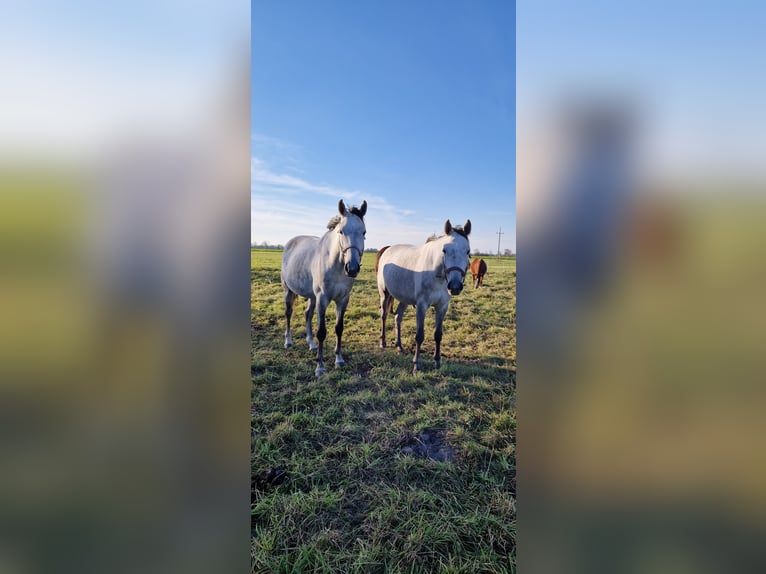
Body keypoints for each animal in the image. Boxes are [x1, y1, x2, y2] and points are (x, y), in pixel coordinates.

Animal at [280, 201, 368, 378]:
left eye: (364, 232)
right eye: (341, 231)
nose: (352, 268)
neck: (336, 265)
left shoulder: (343, 299)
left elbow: (339, 329)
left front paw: (339, 360)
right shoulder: (322, 299)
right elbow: (322, 332)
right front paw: (320, 367)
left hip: (312, 297)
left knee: (307, 313)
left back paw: (311, 344)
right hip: (289, 291)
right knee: (288, 313)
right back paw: (288, 341)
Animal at [376, 219, 472, 374]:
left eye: (468, 251)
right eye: (444, 250)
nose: (455, 286)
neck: (436, 274)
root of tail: (388, 249)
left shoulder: (442, 307)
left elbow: (438, 335)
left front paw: (437, 362)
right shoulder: (422, 306)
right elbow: (419, 336)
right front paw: (416, 364)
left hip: (404, 299)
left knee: (398, 317)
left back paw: (399, 346)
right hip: (384, 294)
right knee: (384, 315)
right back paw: (383, 342)